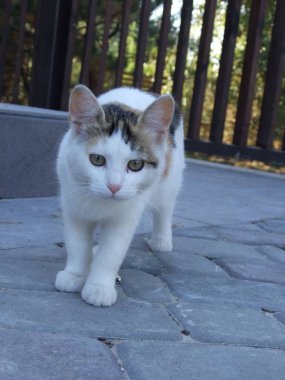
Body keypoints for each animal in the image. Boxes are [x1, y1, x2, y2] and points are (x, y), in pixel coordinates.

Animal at [55, 84, 184, 306]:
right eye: (97, 159)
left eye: (135, 164)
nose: (113, 186)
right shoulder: (73, 205)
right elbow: (77, 244)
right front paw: (74, 275)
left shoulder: (125, 217)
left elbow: (112, 251)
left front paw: (99, 288)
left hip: (169, 181)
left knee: (165, 209)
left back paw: (161, 240)